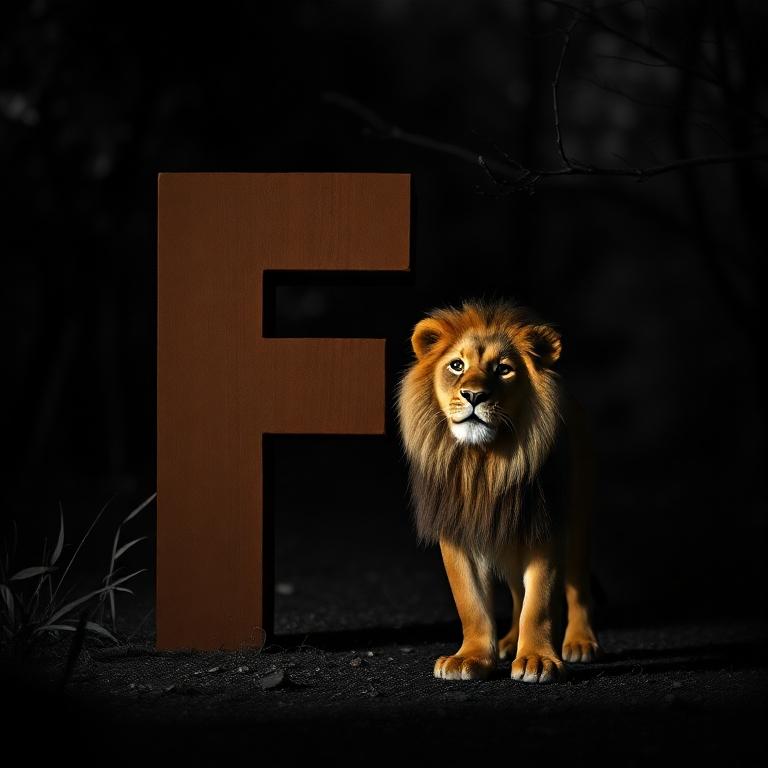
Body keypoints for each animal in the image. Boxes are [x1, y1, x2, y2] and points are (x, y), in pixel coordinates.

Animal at [397, 299, 601, 683]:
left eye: (503, 369)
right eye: (457, 365)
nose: (474, 395)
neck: (483, 463)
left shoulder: (544, 527)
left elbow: (540, 602)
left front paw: (537, 660)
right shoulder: (457, 531)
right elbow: (471, 603)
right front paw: (471, 658)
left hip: (578, 515)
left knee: (576, 584)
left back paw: (579, 642)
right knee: (518, 592)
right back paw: (509, 642)